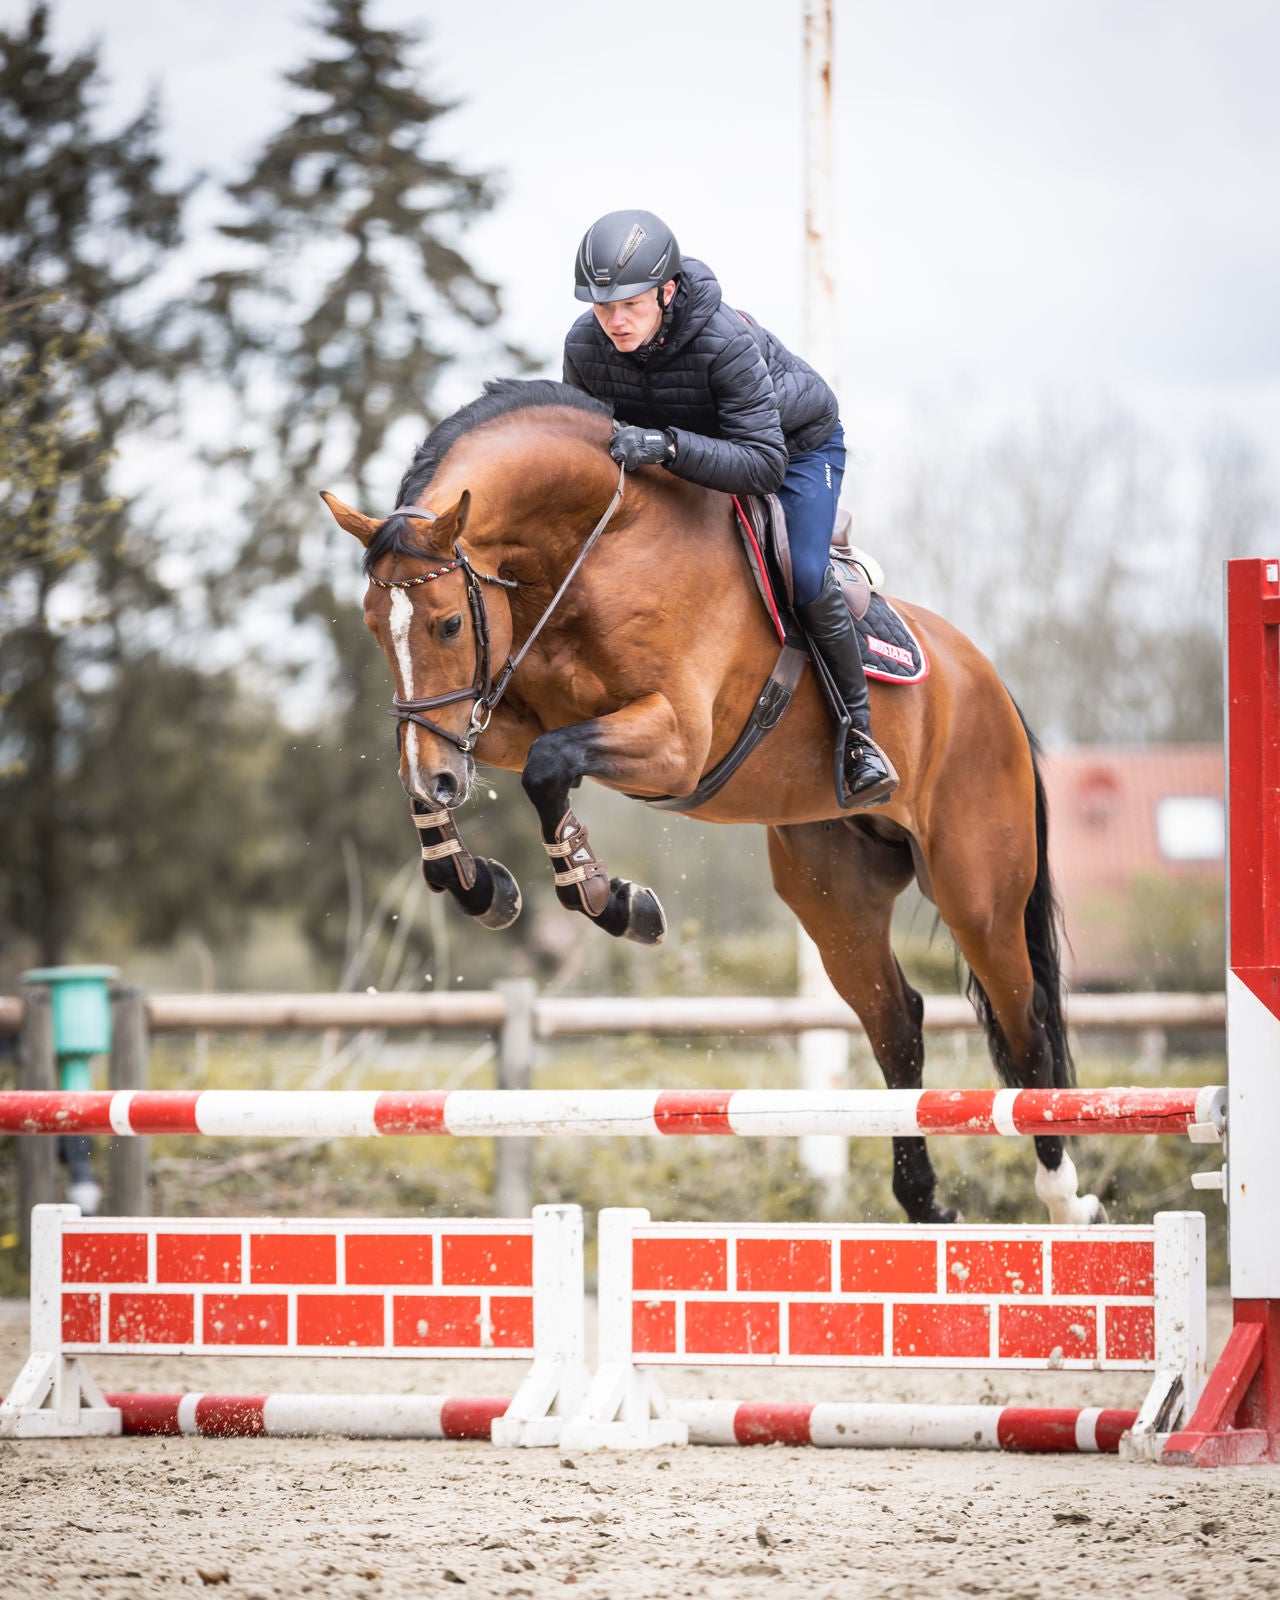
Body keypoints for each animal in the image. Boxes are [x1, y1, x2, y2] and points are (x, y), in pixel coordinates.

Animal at [320, 374, 1100, 1222]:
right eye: (373, 627)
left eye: (447, 624)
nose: (441, 777)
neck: (592, 545)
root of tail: (990, 684)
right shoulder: (503, 716)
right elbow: (460, 770)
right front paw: (477, 882)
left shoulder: (676, 740)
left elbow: (547, 770)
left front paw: (611, 900)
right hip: (836, 894)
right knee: (899, 1023)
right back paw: (924, 1203)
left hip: (976, 891)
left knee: (1025, 1023)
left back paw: (1064, 1198)